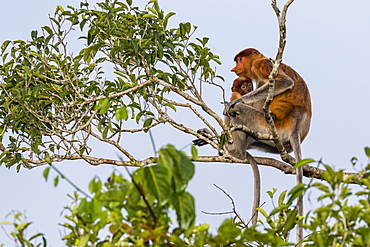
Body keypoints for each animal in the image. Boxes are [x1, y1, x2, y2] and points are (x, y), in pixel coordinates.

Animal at [224, 46, 310, 237]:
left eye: (239, 60)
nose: (234, 68)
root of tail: (296, 124)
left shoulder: (260, 64)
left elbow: (284, 82)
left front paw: (235, 102)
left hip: (266, 124)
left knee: (241, 110)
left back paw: (236, 151)